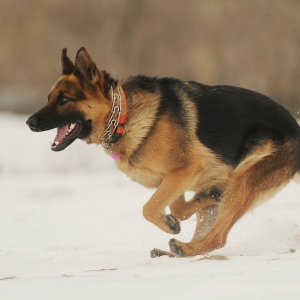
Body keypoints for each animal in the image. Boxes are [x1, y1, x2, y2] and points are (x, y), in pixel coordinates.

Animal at [26, 48, 300, 256]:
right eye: (50, 97)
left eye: (64, 100)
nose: (29, 122)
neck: (123, 116)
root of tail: (297, 130)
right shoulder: (173, 179)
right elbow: (178, 207)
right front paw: (185, 212)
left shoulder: (187, 170)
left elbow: (149, 208)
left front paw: (169, 224)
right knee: (212, 222)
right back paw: (177, 247)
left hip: (244, 180)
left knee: (218, 238)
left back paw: (185, 249)